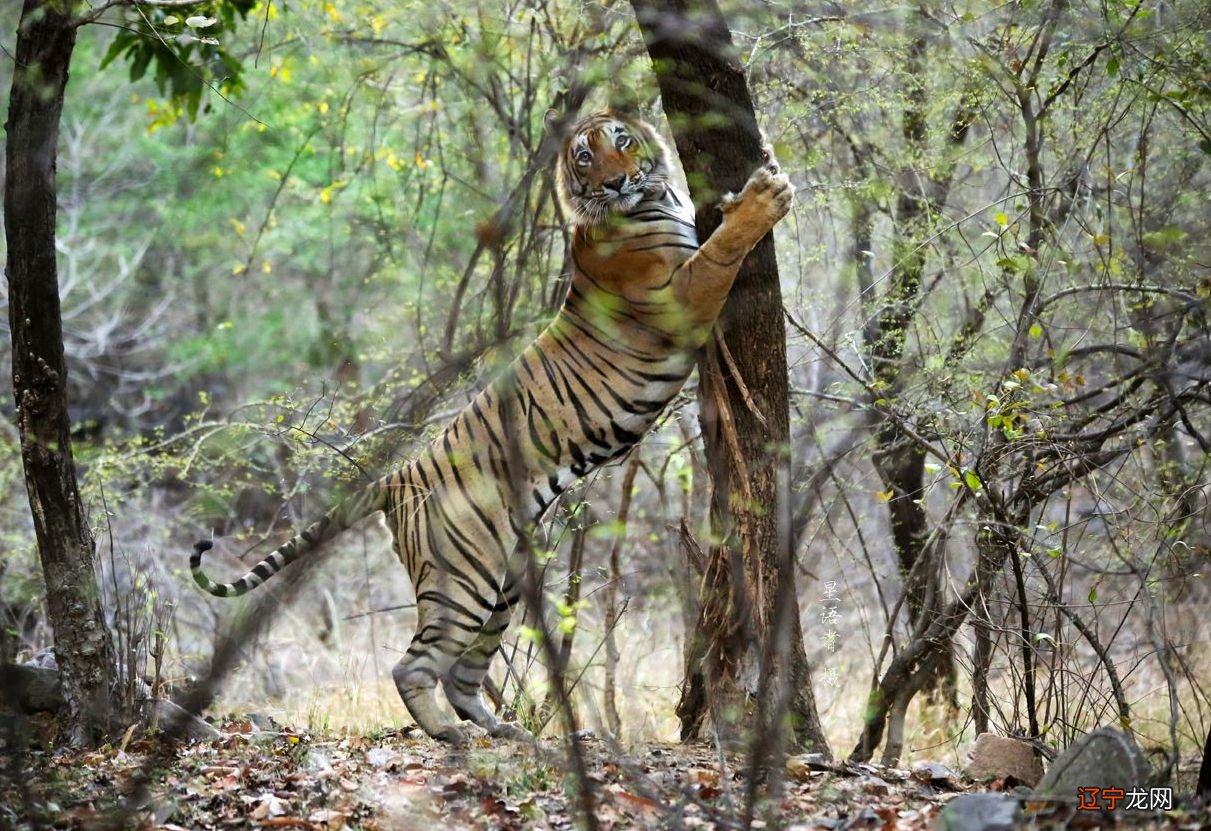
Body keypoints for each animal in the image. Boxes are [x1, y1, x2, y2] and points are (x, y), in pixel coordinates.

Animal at [188, 107, 794, 746]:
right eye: (585, 158)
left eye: (622, 141)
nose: (614, 182)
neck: (650, 198)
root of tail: (394, 478)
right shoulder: (682, 296)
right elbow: (723, 247)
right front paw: (765, 198)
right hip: (463, 581)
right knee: (414, 665)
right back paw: (447, 734)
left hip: (501, 585)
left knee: (462, 674)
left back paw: (505, 730)